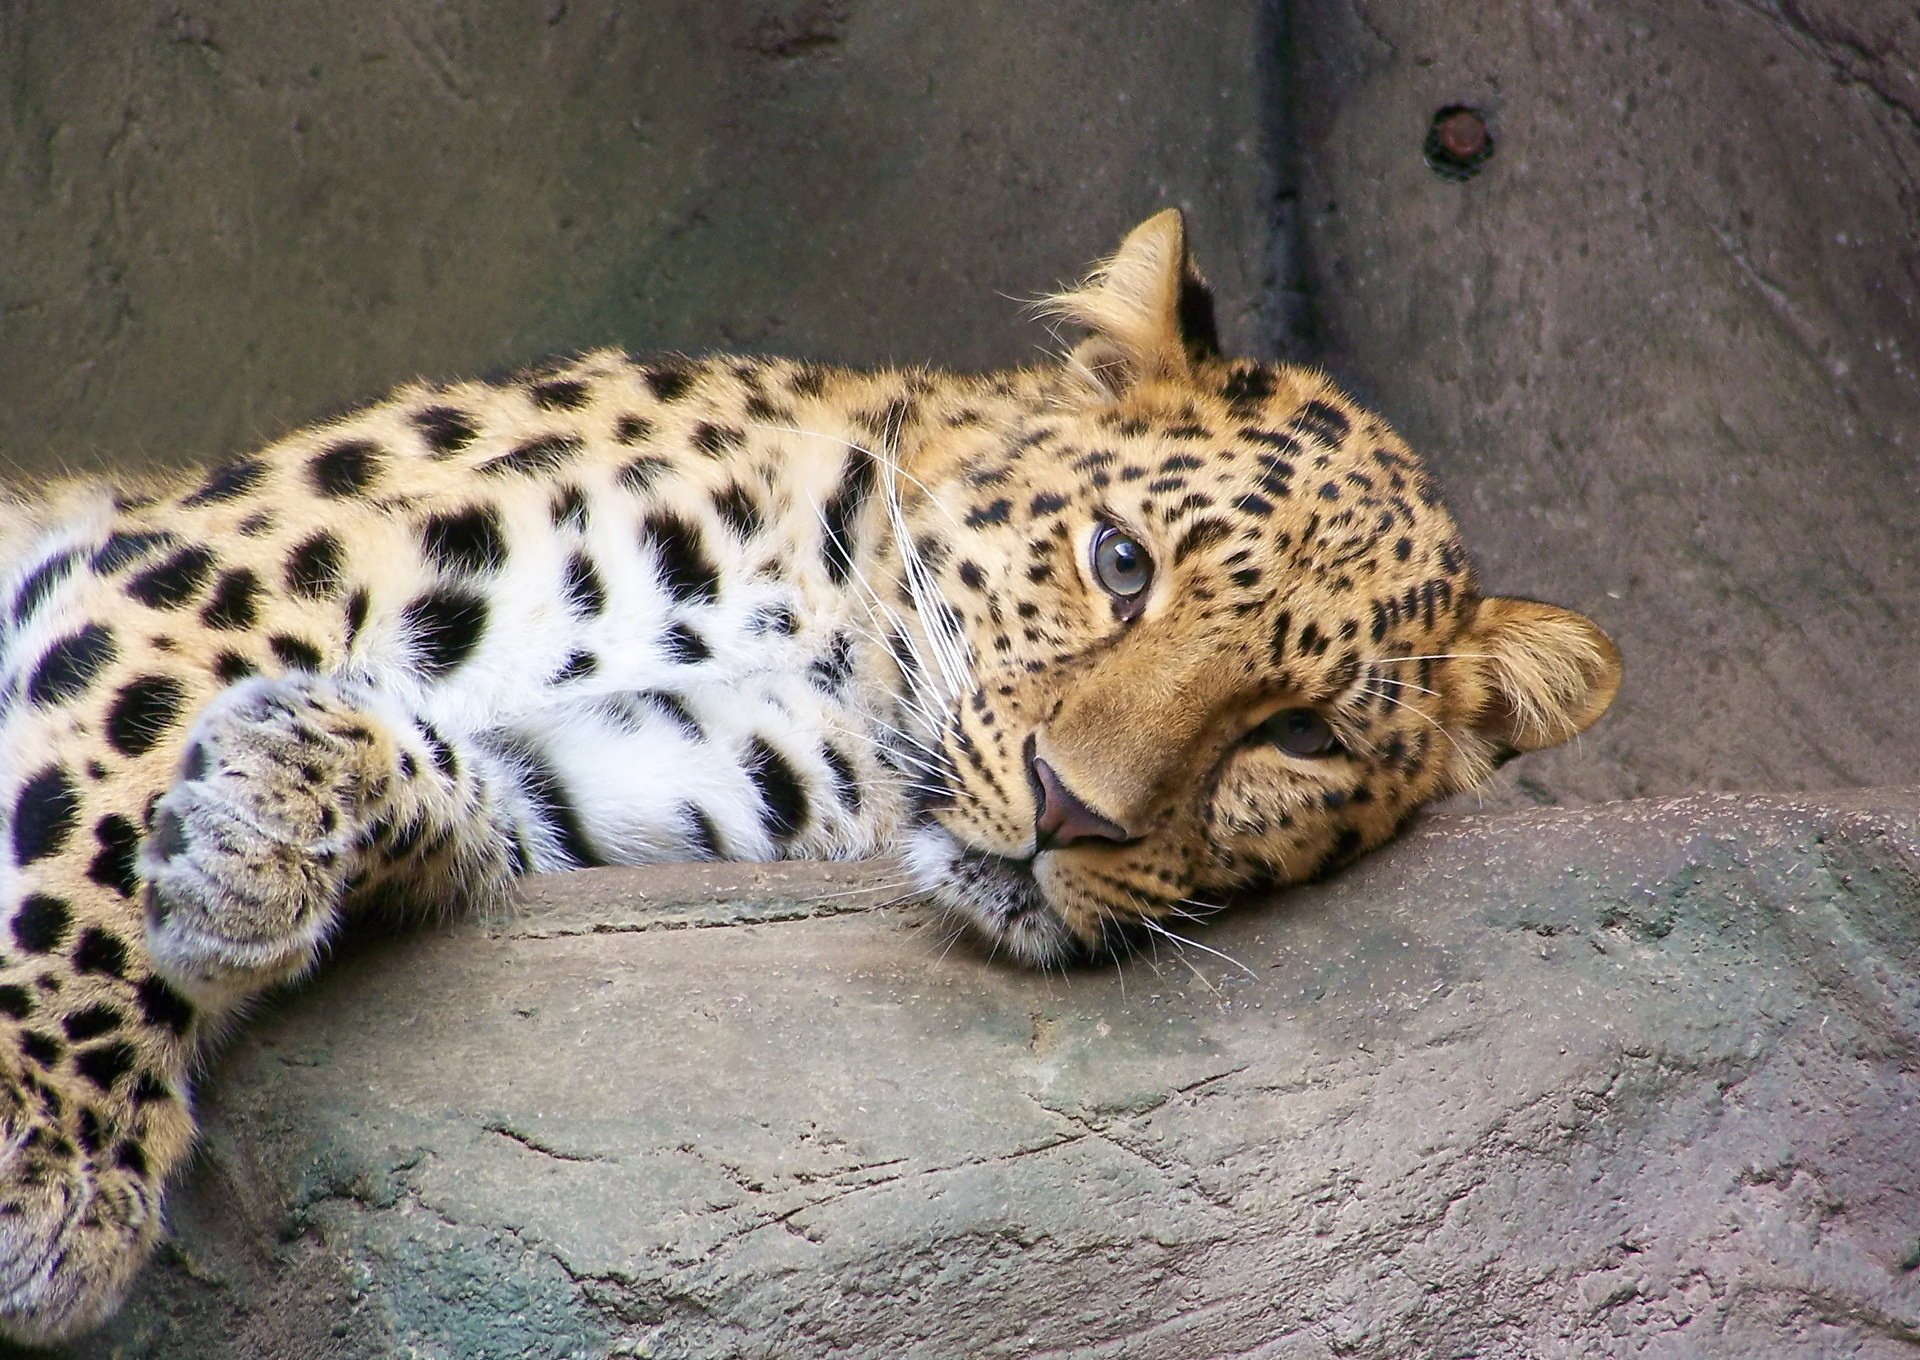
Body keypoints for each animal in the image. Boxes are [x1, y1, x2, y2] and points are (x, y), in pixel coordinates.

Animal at [0, 211, 1620, 1342]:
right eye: (1119, 562)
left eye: (1303, 739)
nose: (1071, 810)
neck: (843, 639)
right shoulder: (241, 565)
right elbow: (93, 795)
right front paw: (47, 1167)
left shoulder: (655, 774)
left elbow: (461, 783)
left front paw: (273, 819)